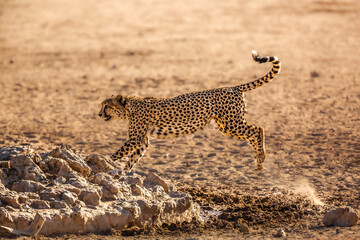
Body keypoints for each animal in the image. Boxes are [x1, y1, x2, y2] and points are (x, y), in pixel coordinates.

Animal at [98, 50, 282, 172]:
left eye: (106, 106)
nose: (99, 114)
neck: (131, 107)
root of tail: (232, 87)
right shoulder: (142, 140)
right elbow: (132, 159)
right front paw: (122, 174)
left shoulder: (136, 138)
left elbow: (118, 153)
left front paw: (103, 161)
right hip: (227, 124)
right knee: (252, 133)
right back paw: (259, 161)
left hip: (231, 123)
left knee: (258, 129)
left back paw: (261, 156)